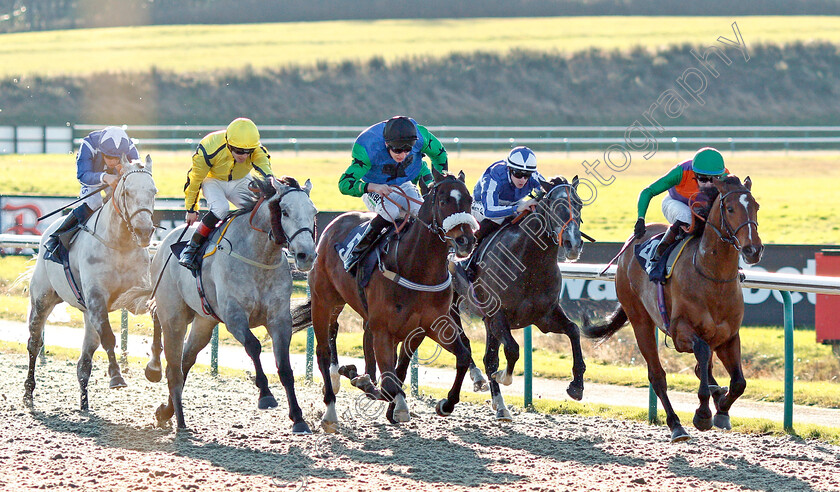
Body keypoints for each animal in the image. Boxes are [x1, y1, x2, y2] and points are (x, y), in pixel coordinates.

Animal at [23, 157, 157, 412]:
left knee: (84, 360)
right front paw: (116, 376)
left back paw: (84, 402)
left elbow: (155, 313)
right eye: (127, 191)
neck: (120, 244)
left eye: (153, 191)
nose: (144, 231)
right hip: (42, 300)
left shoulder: (134, 296)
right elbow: (109, 337)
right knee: (34, 343)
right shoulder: (96, 299)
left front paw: (155, 366)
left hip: (87, 315)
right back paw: (28, 393)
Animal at [146, 177, 316, 434]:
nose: (307, 255)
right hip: (174, 314)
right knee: (172, 355)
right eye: (285, 212)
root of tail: (165, 242)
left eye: (314, 212)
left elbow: (285, 367)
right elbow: (253, 346)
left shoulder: (279, 319)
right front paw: (265, 394)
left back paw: (166, 410)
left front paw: (298, 417)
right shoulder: (234, 317)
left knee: (186, 359)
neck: (258, 256)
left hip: (204, 322)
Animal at [292, 168, 476, 430]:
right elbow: (388, 384)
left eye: (469, 200)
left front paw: (445, 404)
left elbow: (459, 357)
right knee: (323, 351)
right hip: (323, 300)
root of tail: (331, 226)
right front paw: (373, 388)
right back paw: (331, 409)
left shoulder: (429, 325)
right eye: (443, 201)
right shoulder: (384, 330)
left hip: (344, 304)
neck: (416, 267)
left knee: (343, 333)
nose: (465, 241)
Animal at [580, 176, 764, 442]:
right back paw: (676, 425)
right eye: (730, 209)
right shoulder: (680, 332)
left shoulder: (729, 336)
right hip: (640, 319)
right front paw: (703, 414)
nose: (753, 250)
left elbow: (738, 382)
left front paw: (722, 409)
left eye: (756, 206)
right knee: (657, 375)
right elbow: (701, 355)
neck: (713, 278)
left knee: (702, 368)